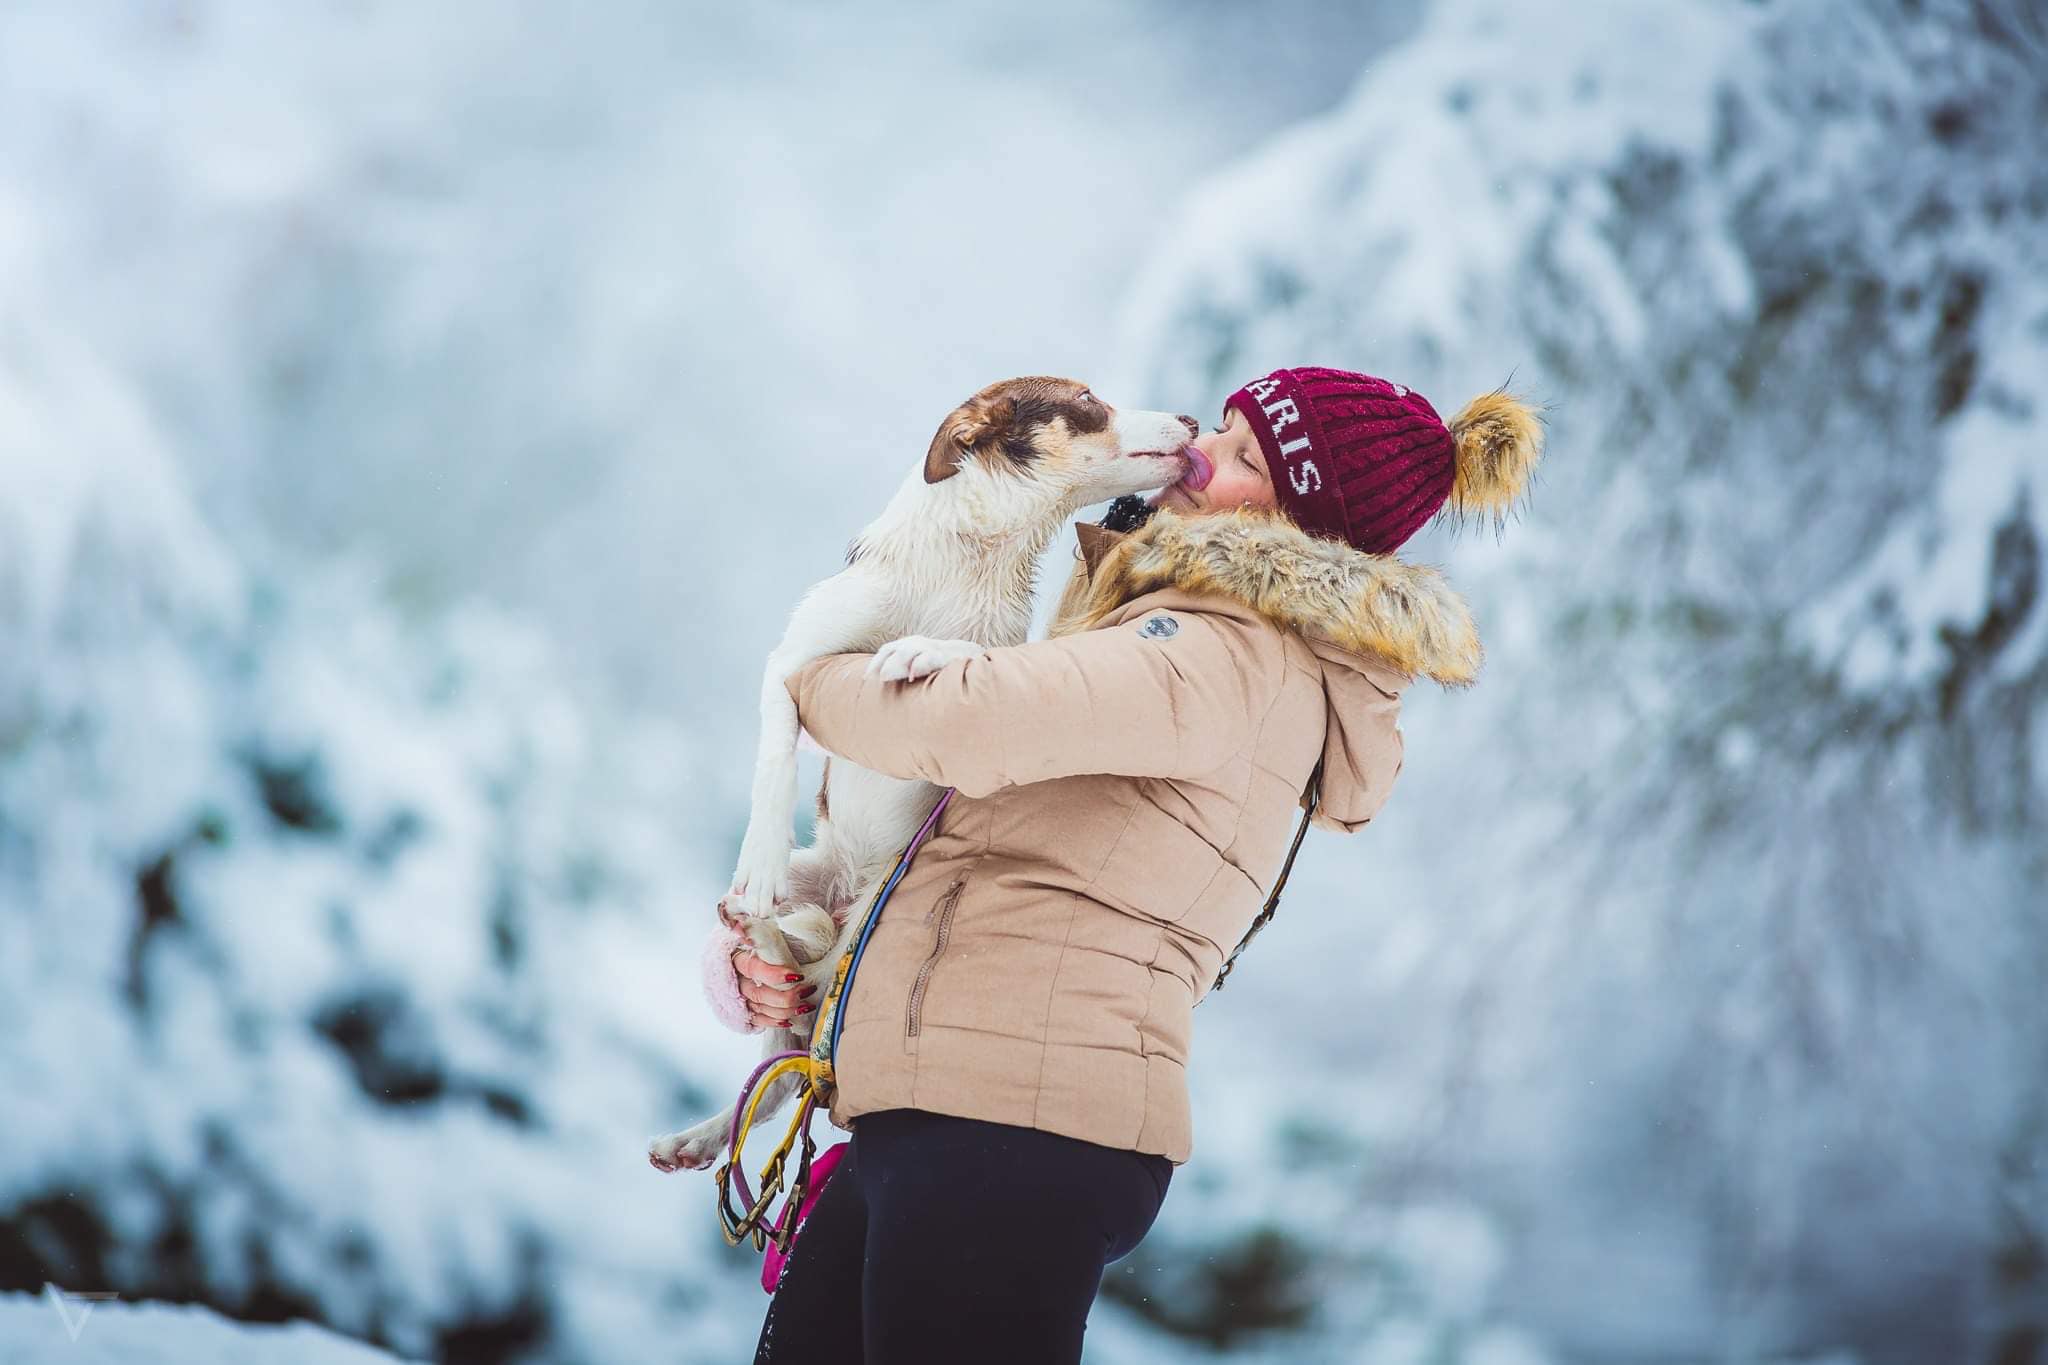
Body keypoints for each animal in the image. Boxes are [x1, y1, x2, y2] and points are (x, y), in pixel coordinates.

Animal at [647, 376, 1195, 1173]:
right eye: (1089, 397)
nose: (1192, 418)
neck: (972, 561)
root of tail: (847, 891)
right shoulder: (795, 657)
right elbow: (775, 760)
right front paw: (758, 862)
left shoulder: (1007, 684)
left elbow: (978, 657)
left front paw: (924, 651)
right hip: (811, 888)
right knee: (783, 1026)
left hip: (868, 922)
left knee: (802, 1024)